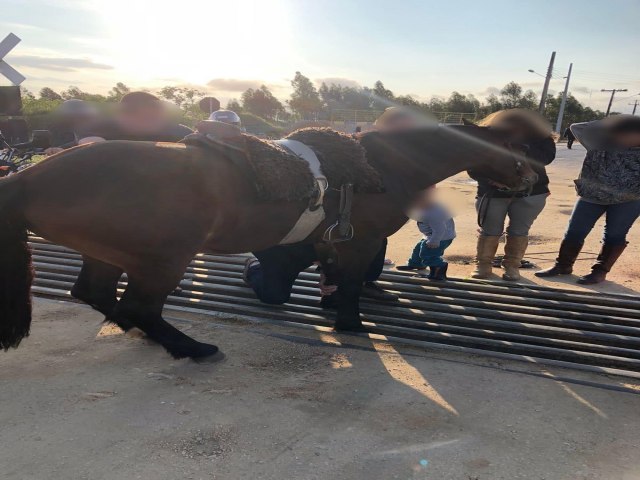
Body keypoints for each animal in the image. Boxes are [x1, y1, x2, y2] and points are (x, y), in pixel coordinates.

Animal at [0, 125, 536, 358]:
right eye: (516, 149)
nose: (531, 179)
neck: (380, 167)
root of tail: (24, 178)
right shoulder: (359, 242)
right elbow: (350, 287)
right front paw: (350, 324)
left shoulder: (330, 242)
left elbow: (329, 277)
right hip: (163, 258)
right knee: (139, 306)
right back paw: (191, 348)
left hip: (109, 252)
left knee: (96, 293)